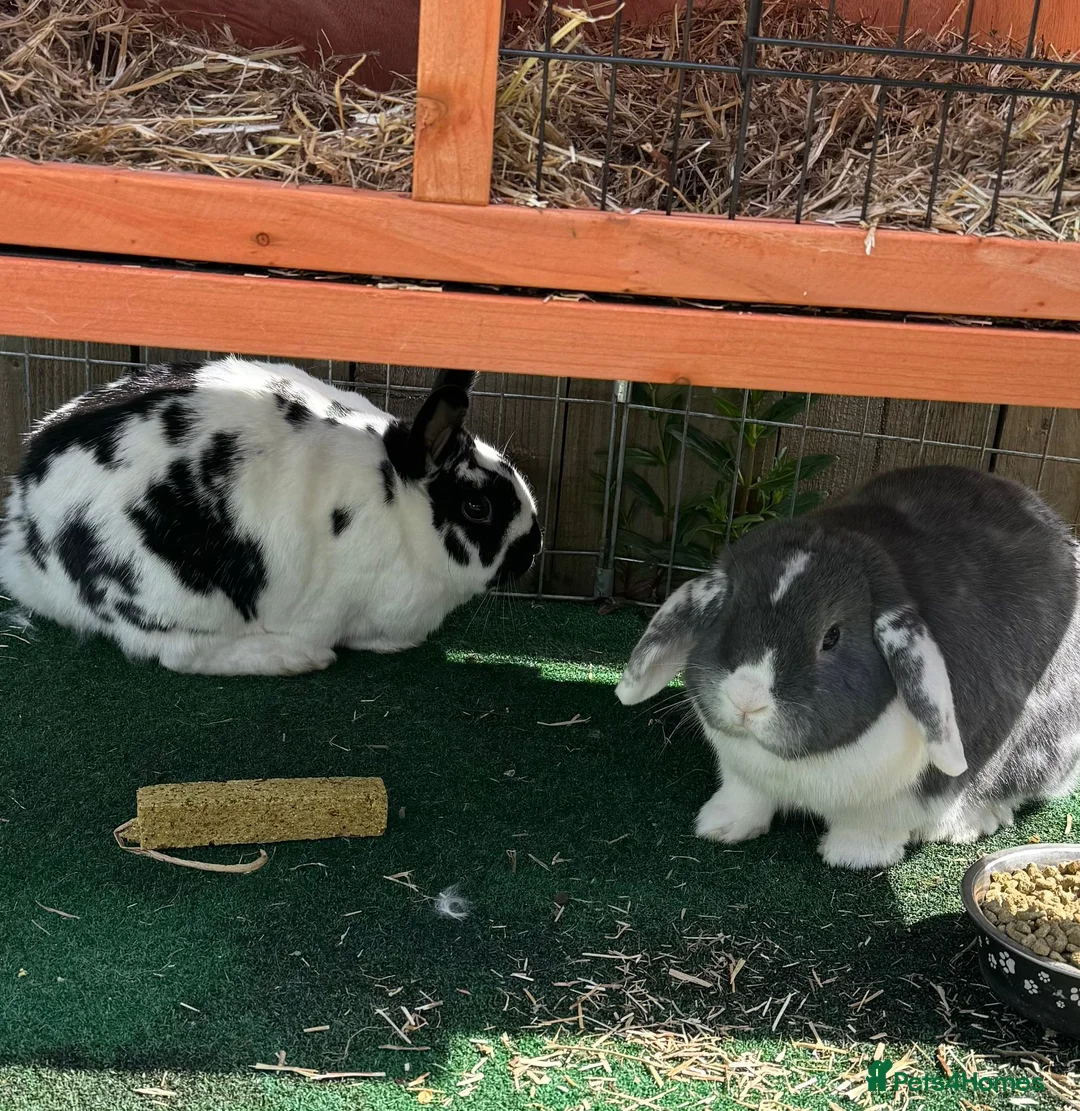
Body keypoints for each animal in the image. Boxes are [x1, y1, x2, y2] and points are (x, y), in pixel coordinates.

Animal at [0, 358, 542, 676]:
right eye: (477, 507)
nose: (534, 548)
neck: (400, 508)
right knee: (180, 655)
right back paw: (294, 658)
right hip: (177, 597)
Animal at [615, 465, 1080, 870]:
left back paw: (967, 823)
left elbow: (871, 828)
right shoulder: (741, 776)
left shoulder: (898, 801)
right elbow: (744, 799)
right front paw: (719, 827)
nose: (746, 699)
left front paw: (851, 857)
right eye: (729, 611)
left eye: (831, 637)